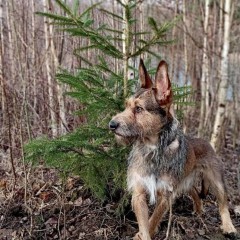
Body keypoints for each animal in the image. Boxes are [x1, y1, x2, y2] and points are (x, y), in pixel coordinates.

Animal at [109, 59, 236, 239]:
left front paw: (147, 231)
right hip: (185, 180)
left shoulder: (166, 194)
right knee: (195, 192)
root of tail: (206, 142)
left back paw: (228, 226)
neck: (153, 149)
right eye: (126, 106)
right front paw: (141, 234)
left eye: (139, 109)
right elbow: (144, 224)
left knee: (223, 202)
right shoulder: (139, 193)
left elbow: (152, 220)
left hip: (215, 179)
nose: (111, 124)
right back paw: (198, 210)